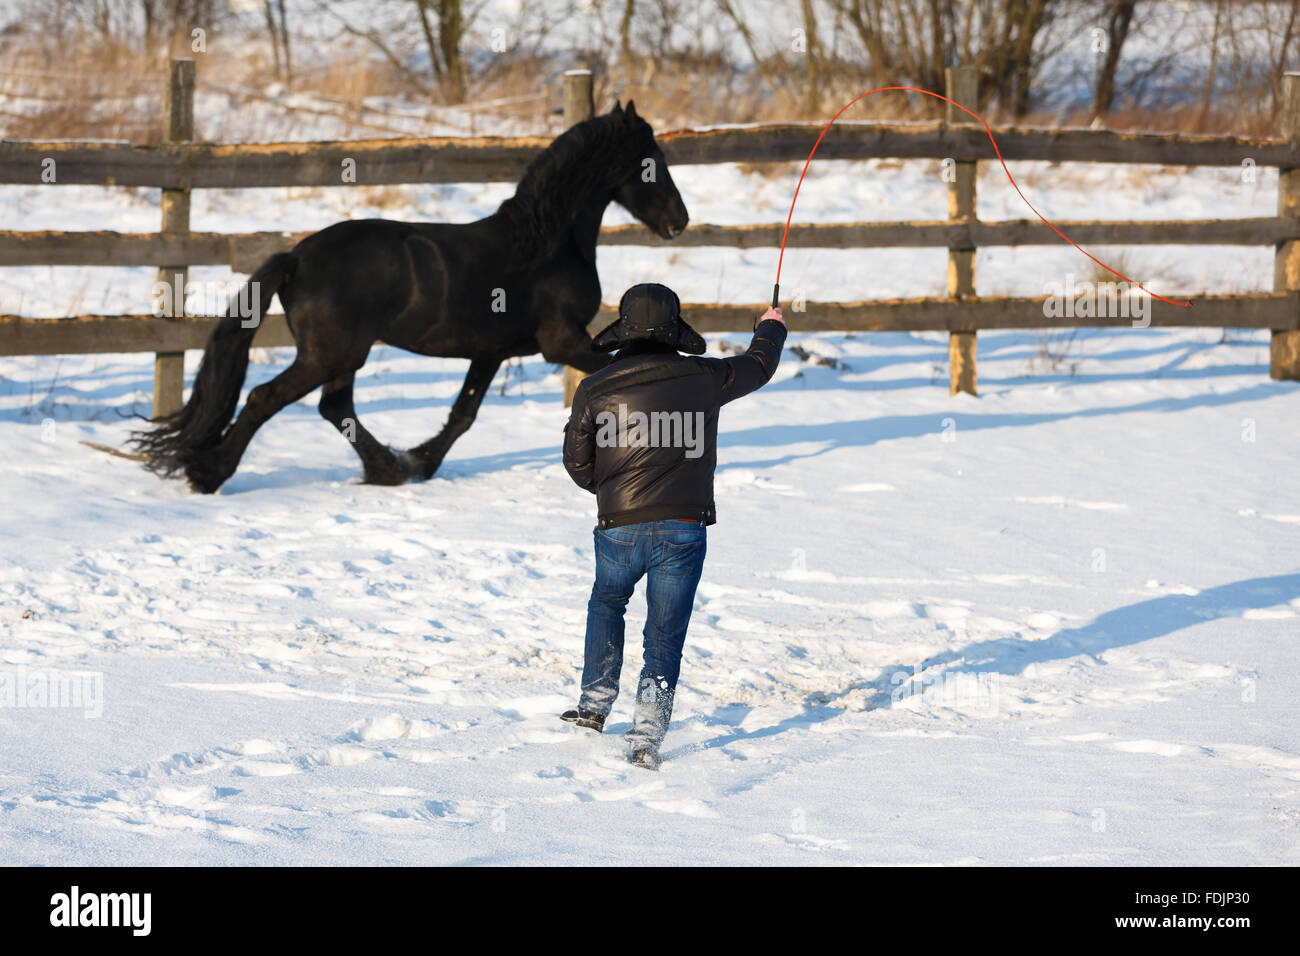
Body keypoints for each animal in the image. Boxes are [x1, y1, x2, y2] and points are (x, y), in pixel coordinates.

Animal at [130, 100, 689, 493]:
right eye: (653, 161)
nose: (679, 221)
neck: (547, 246)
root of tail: (297, 258)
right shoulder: (561, 341)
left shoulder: (491, 351)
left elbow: (464, 414)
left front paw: (423, 461)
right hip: (330, 354)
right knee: (268, 398)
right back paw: (208, 475)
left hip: (342, 356)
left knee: (334, 407)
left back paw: (389, 468)